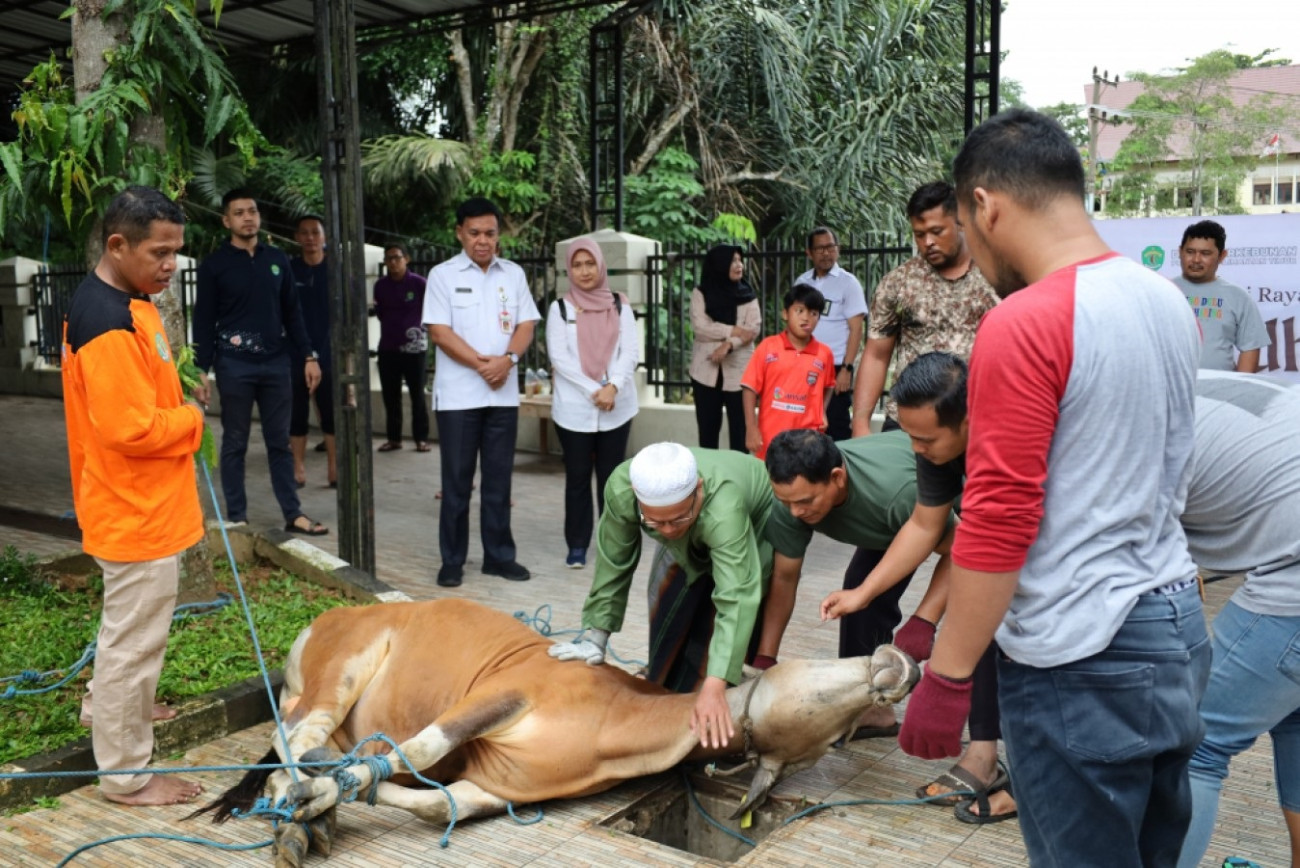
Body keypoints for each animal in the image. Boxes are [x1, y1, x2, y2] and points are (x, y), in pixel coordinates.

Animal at [200, 600, 915, 862]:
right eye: (805, 670)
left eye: (837, 739)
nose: (899, 667)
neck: (614, 720)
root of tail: (322, 622)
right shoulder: (501, 694)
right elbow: (424, 747)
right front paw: (321, 797)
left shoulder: (497, 787)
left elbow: (436, 803)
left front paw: (348, 794)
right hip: (343, 665)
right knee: (297, 732)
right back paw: (295, 805)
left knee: (305, 739)